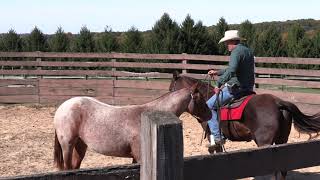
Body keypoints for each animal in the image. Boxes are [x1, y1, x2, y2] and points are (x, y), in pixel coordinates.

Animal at [53, 85, 211, 171]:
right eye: (200, 99)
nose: (210, 115)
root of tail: (62, 107)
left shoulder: (135, 158)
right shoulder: (140, 157)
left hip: (80, 146)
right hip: (67, 146)